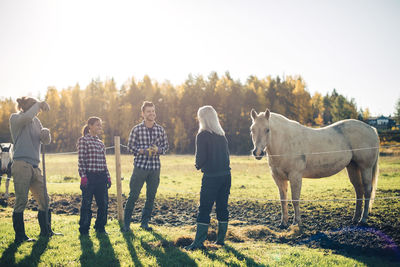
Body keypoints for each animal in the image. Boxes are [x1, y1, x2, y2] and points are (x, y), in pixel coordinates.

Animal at [250, 109, 378, 228]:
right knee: (359, 190)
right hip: (353, 167)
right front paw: (283, 223)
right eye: (252, 130)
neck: (285, 142)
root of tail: (371, 129)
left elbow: (295, 200)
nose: (257, 153)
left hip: (365, 168)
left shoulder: (295, 176)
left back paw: (363, 220)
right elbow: (283, 200)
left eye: (267, 129)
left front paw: (296, 223)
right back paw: (355, 219)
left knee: (367, 191)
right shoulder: (278, 178)